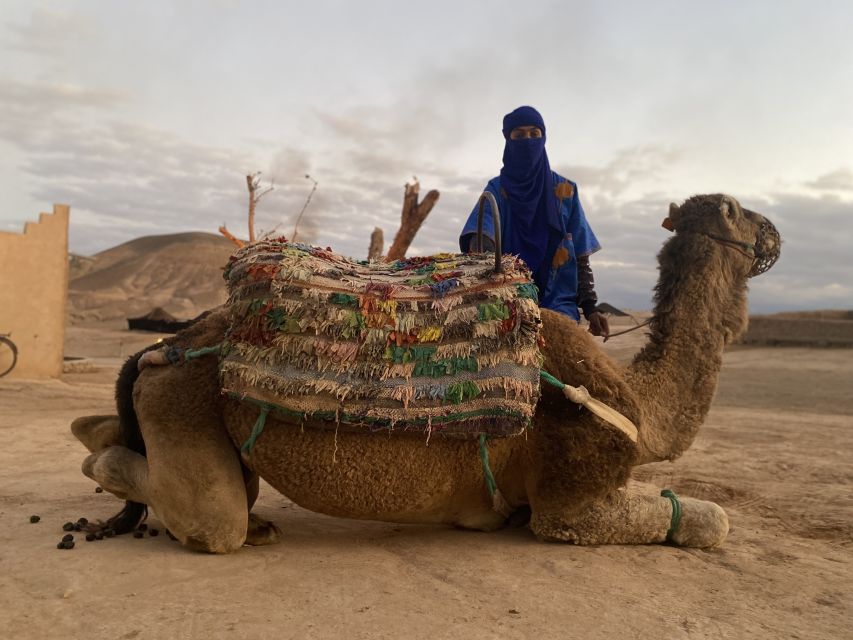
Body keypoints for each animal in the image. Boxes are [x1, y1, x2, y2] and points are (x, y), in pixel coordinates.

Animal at [73, 192, 780, 552]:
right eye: (742, 211)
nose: (774, 231)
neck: (639, 401)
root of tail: (167, 345)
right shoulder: (572, 498)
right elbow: (710, 520)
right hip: (182, 395)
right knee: (211, 519)